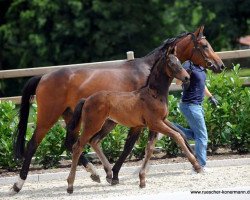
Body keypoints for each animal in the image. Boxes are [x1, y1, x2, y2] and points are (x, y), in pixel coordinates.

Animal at [65, 48, 200, 194]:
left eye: (179, 61)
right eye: (171, 63)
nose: (187, 77)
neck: (154, 95)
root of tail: (86, 100)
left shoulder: (156, 124)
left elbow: (150, 148)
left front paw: (142, 180)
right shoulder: (156, 123)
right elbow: (176, 136)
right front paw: (196, 165)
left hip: (108, 124)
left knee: (94, 141)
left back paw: (109, 174)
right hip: (92, 125)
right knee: (78, 146)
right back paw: (71, 185)